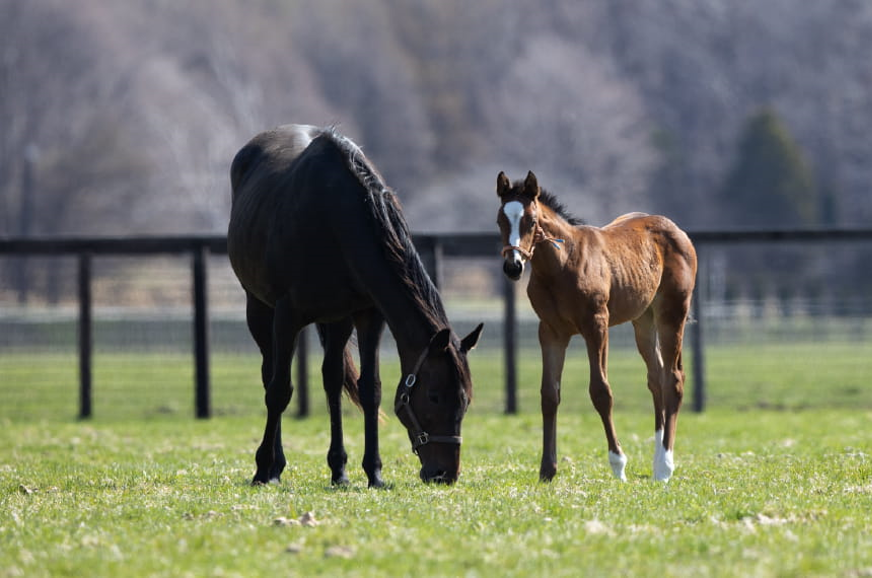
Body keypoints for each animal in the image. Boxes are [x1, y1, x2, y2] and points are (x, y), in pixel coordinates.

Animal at [228, 124, 483, 486]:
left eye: (465, 399)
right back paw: (274, 465)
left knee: (332, 380)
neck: (334, 215)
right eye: (434, 395)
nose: (445, 474)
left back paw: (338, 469)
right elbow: (279, 390)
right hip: (260, 310)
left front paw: (373, 471)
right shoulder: (287, 315)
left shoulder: (367, 314)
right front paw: (264, 468)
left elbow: (369, 389)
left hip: (337, 320)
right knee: (270, 375)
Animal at [495, 171, 697, 482]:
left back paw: (664, 467)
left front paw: (619, 465)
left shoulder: (596, 326)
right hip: (643, 321)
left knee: (673, 378)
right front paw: (547, 470)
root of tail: (676, 230)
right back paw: (655, 462)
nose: (513, 266)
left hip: (671, 314)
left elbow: (601, 391)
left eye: (531, 220)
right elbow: (549, 395)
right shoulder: (550, 332)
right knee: (656, 378)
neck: (561, 265)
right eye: (500, 220)